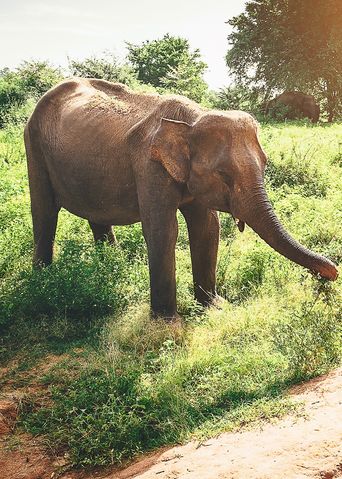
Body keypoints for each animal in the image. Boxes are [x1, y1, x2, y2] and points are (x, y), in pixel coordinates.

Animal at [23, 78, 336, 318]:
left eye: (265, 164)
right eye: (223, 174)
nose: (330, 273)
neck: (191, 120)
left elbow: (207, 228)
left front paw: (214, 307)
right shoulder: (149, 165)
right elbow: (163, 230)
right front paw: (167, 323)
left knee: (96, 216)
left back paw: (110, 266)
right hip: (33, 142)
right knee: (44, 211)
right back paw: (42, 282)